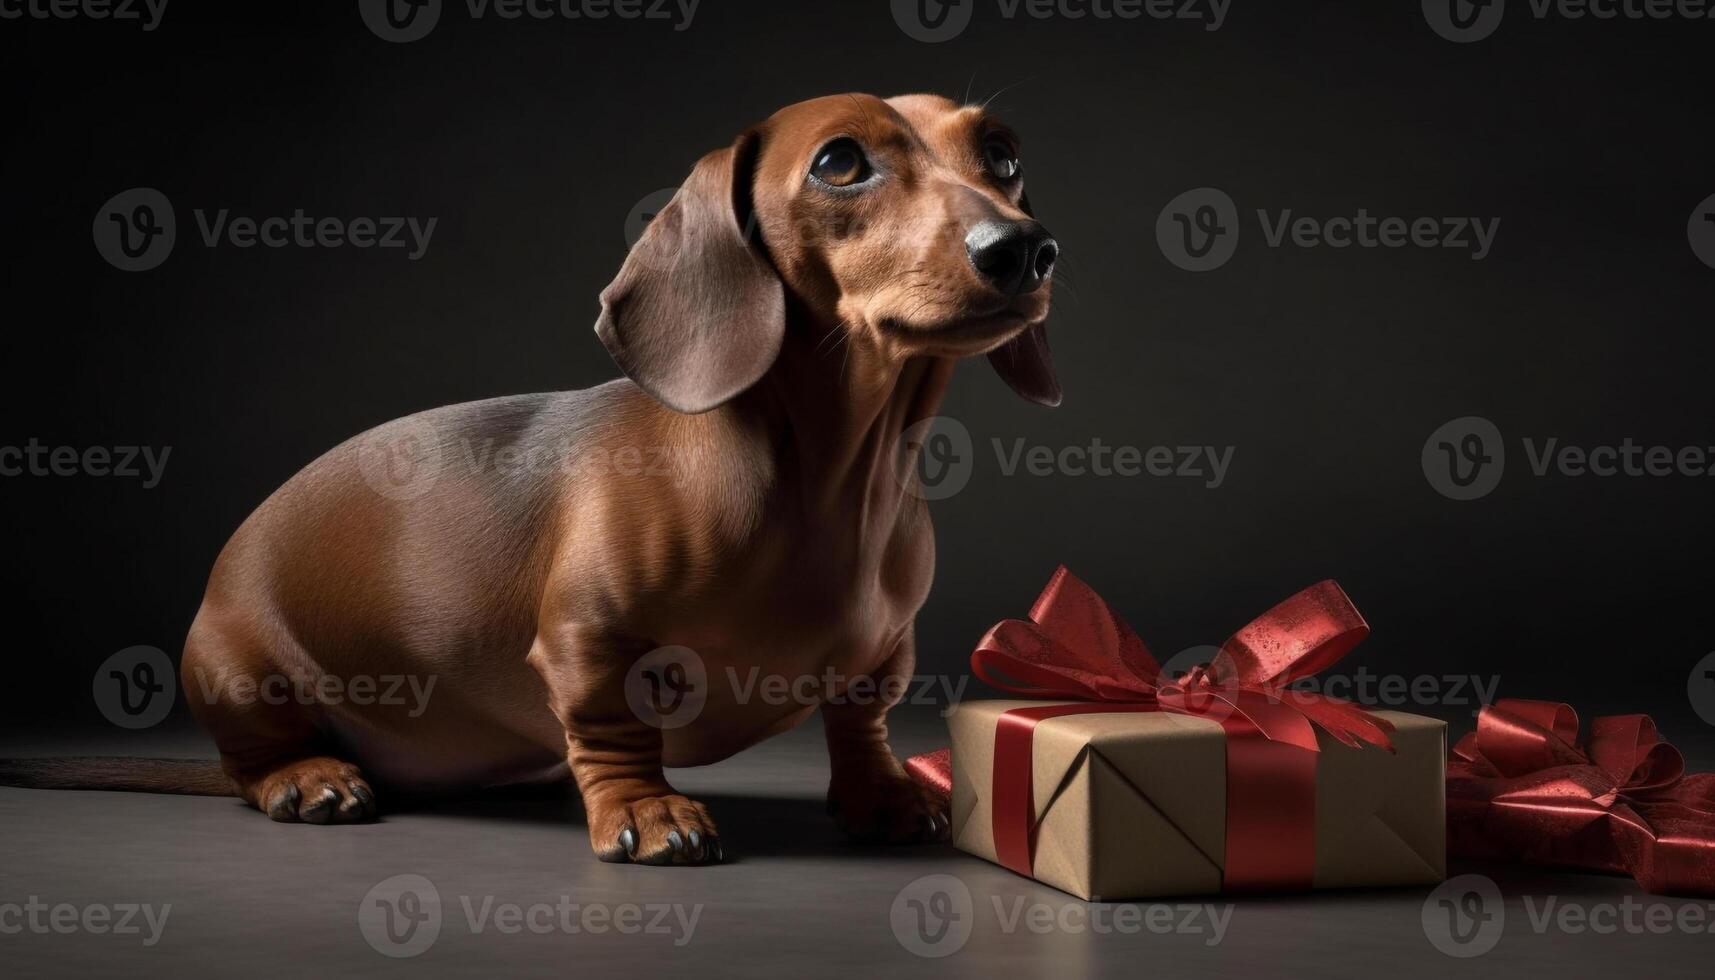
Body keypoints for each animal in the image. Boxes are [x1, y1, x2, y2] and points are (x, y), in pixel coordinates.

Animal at [0, 93, 1056, 865]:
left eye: (1001, 153)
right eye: (840, 162)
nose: (1024, 249)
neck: (831, 478)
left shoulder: (884, 656)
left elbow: (860, 723)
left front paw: (884, 797)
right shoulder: (589, 640)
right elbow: (613, 726)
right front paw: (647, 812)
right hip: (234, 669)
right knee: (252, 761)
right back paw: (308, 779)